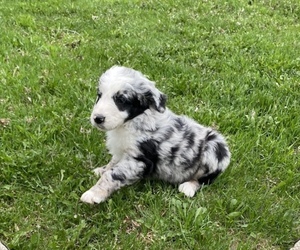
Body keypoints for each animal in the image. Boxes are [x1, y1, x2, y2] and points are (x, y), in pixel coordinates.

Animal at [79, 65, 230, 204]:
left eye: (121, 100)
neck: (131, 122)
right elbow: (112, 163)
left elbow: (113, 175)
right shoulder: (121, 151)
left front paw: (93, 193)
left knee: (205, 180)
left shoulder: (138, 159)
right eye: (99, 95)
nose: (97, 118)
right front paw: (101, 170)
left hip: (215, 148)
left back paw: (188, 187)